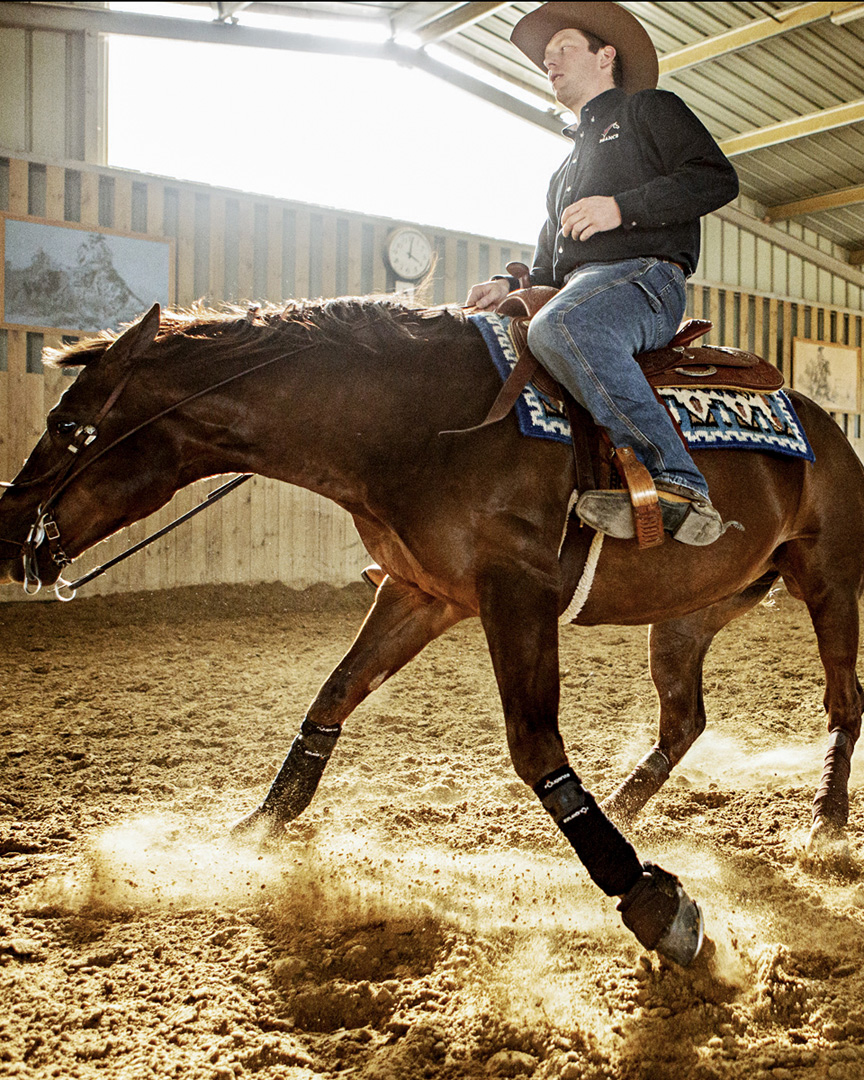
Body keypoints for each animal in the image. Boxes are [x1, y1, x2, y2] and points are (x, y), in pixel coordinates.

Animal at [1, 300, 864, 967]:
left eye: (68, 423)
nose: (9, 528)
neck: (422, 424)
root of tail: (826, 425)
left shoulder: (515, 592)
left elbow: (536, 749)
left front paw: (652, 903)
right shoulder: (420, 594)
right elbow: (333, 696)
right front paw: (252, 832)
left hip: (828, 581)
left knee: (842, 701)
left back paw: (822, 825)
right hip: (688, 613)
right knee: (686, 718)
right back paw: (629, 802)